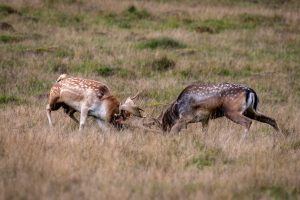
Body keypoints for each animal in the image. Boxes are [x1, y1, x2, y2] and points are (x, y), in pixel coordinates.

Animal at [145, 82, 278, 136]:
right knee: (271, 120)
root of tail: (251, 91)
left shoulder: (186, 117)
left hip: (232, 111)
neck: (177, 109)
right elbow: (205, 133)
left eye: (164, 128)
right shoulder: (205, 119)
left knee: (248, 122)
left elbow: (174, 131)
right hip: (251, 110)